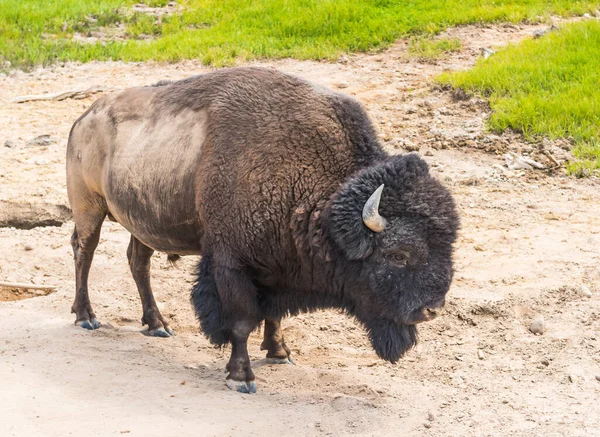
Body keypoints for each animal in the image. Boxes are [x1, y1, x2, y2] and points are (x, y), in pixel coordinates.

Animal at [65, 66, 458, 394]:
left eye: (448, 246)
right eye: (398, 254)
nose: (431, 309)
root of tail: (83, 118)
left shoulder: (277, 266)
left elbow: (274, 314)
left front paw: (280, 352)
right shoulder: (231, 264)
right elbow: (241, 320)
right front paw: (241, 377)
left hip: (141, 222)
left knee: (138, 262)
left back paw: (157, 324)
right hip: (89, 207)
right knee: (84, 250)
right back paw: (87, 317)